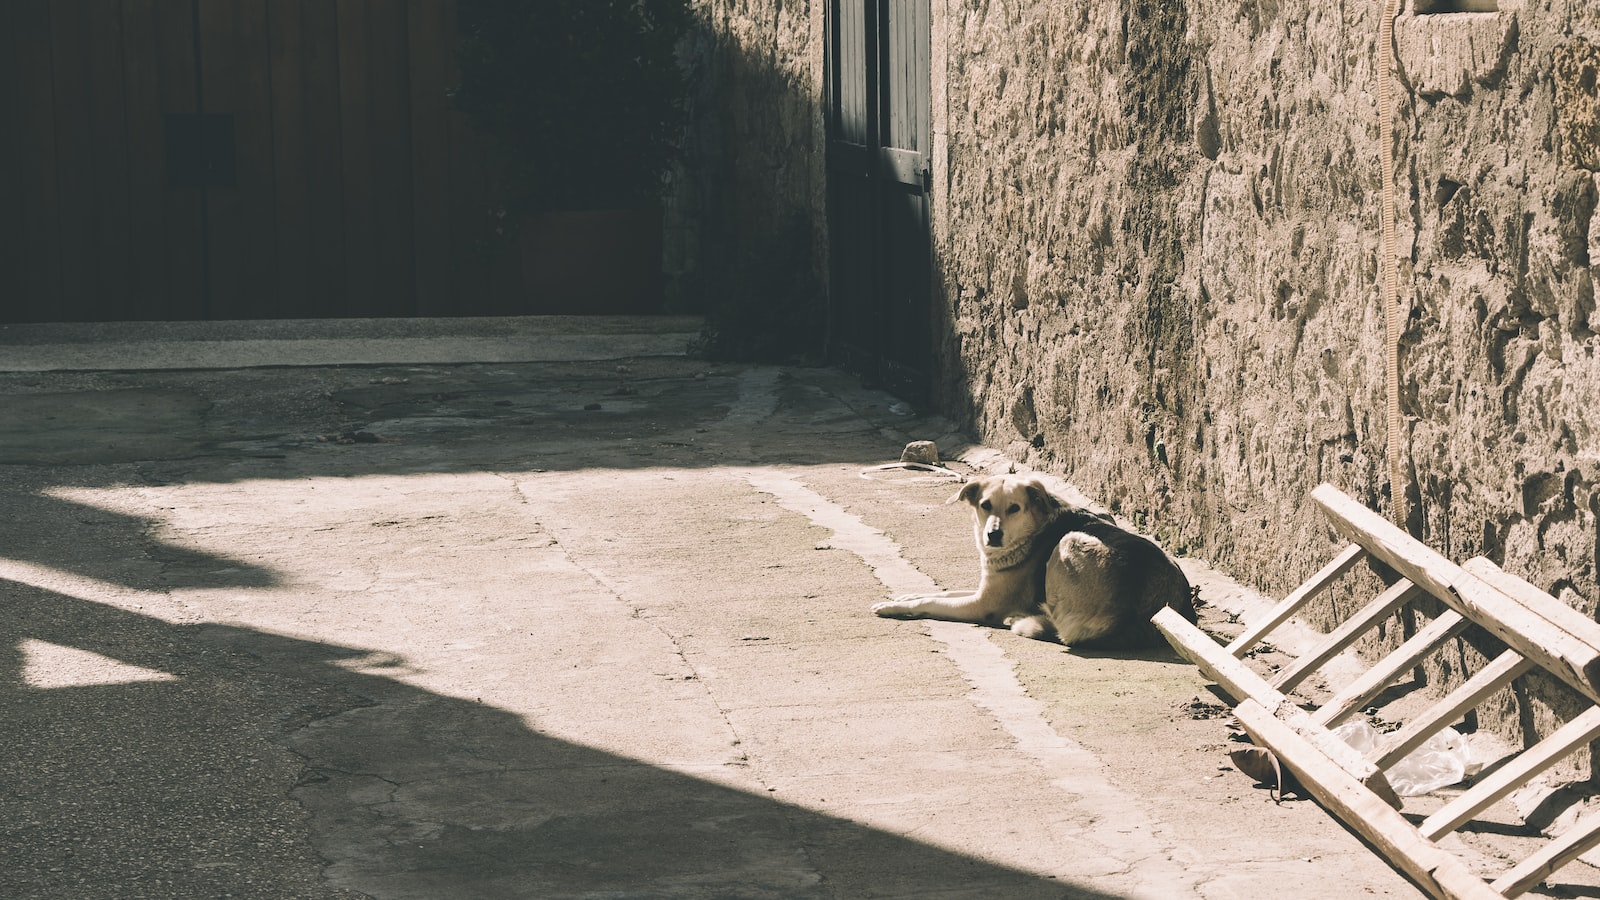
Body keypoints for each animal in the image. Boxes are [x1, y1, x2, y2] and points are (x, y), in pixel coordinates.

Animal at [876, 474, 1203, 646]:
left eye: (1015, 508)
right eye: (985, 506)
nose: (993, 535)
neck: (1033, 528)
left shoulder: (983, 604)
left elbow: (932, 601)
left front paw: (895, 607)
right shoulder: (985, 590)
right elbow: (940, 592)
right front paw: (904, 596)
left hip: (1069, 542)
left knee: (1064, 630)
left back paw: (1027, 620)